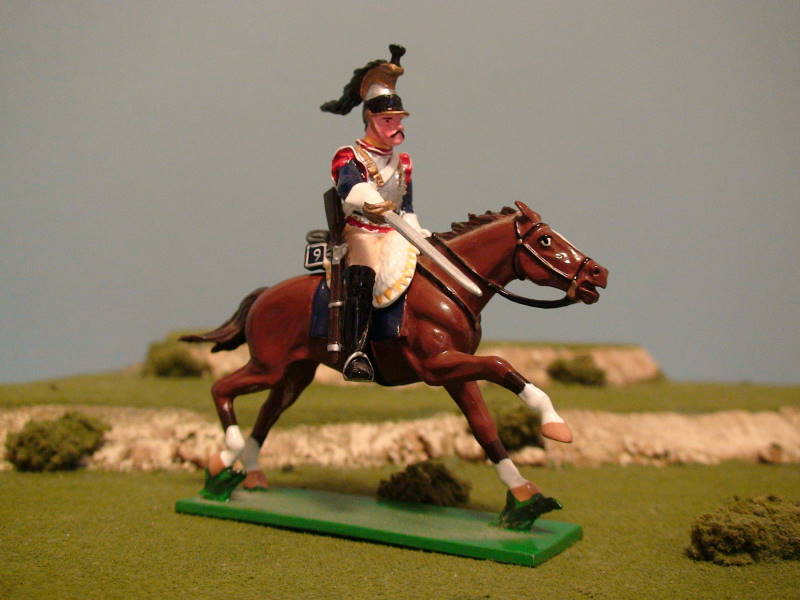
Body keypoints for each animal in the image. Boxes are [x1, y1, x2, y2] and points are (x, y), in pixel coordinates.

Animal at [183, 202, 608, 528]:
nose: (598, 273)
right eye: (545, 239)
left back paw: (251, 473)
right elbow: (501, 364)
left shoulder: (457, 373)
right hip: (267, 367)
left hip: (294, 374)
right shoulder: (439, 366)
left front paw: (523, 493)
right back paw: (224, 460)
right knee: (221, 390)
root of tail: (264, 295)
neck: (448, 286)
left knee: (268, 413)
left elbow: (484, 427)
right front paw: (554, 424)